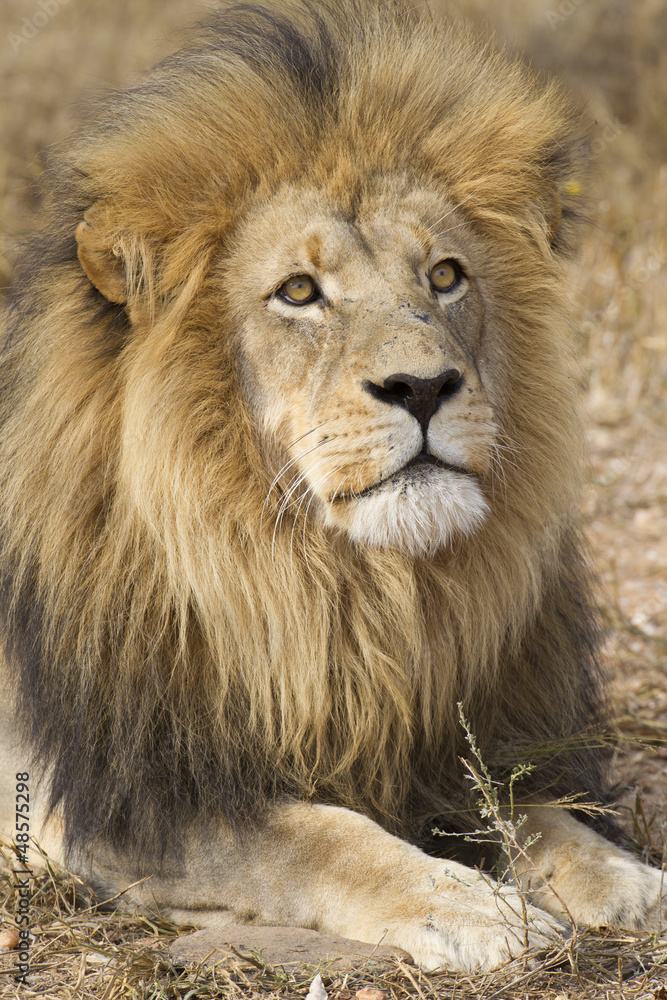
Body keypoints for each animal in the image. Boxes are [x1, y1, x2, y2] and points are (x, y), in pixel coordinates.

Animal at [0, 0, 664, 972]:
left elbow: (531, 809)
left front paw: (624, 879)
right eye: (299, 292)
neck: (338, 590)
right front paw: (469, 908)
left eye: (444, 276)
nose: (423, 386)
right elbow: (313, 836)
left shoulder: (445, 734)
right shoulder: (119, 796)